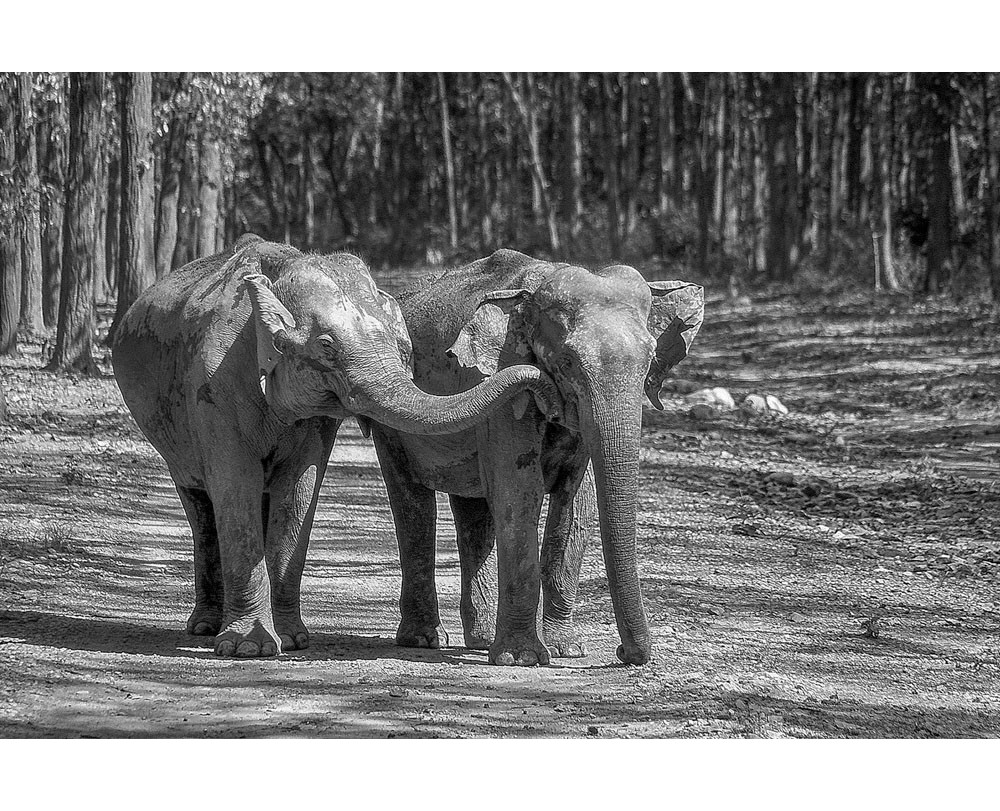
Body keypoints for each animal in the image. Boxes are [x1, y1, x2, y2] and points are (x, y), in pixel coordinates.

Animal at [115, 236, 564, 660]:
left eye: (403, 349)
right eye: (327, 346)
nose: (544, 386)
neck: (280, 276)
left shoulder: (316, 421)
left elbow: (300, 490)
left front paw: (292, 641)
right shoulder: (211, 386)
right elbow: (235, 484)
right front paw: (249, 648)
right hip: (172, 433)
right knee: (201, 505)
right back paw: (206, 629)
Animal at [368, 249, 704, 668]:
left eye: (650, 360)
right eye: (569, 362)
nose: (623, 652)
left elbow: (577, 502)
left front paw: (567, 649)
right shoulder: (502, 380)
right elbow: (520, 489)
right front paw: (522, 658)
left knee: (475, 511)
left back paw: (479, 640)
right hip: (389, 420)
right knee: (413, 504)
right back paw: (425, 639)